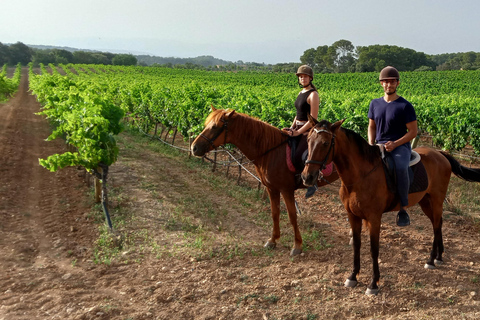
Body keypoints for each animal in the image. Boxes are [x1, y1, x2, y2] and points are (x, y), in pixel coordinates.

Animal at [189, 106, 340, 256]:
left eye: (215, 127)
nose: (194, 148)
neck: (271, 151)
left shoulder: (286, 190)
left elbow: (292, 216)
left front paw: (297, 245)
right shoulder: (271, 188)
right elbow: (274, 213)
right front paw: (273, 240)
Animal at [302, 116, 480, 296]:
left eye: (325, 143)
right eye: (308, 140)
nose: (307, 177)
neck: (359, 177)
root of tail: (440, 154)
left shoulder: (374, 218)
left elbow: (374, 249)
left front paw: (373, 283)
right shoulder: (352, 215)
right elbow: (357, 245)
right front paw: (353, 276)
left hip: (436, 200)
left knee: (436, 226)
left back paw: (431, 260)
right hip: (426, 202)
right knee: (439, 223)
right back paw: (439, 256)